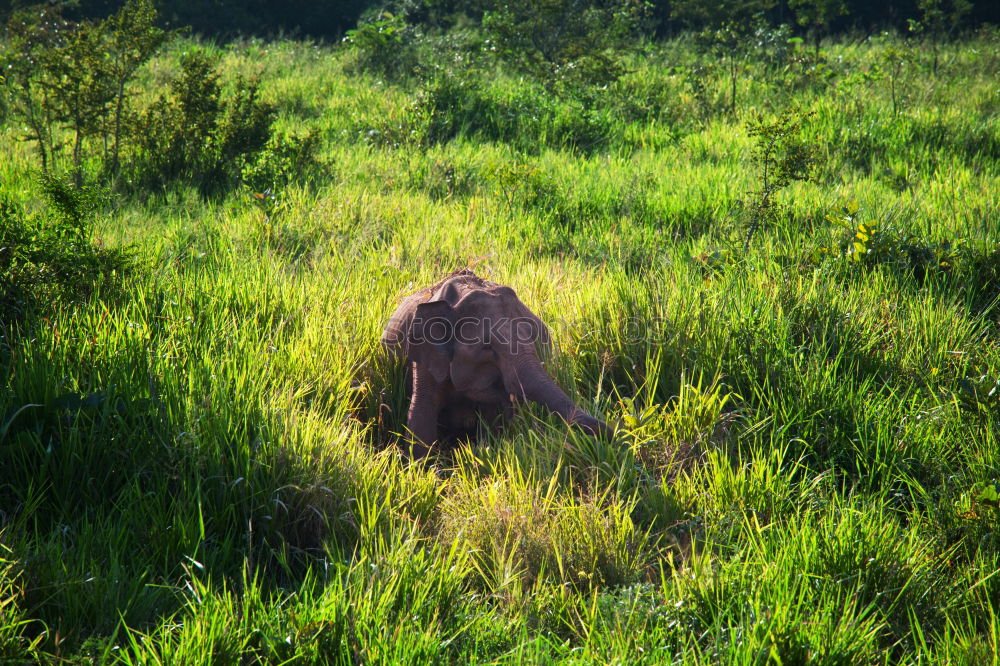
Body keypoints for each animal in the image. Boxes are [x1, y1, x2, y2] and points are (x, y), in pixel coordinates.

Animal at [380, 268, 608, 454]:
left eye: (535, 338)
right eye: (488, 348)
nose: (611, 432)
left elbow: (492, 417)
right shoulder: (425, 355)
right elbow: (422, 412)